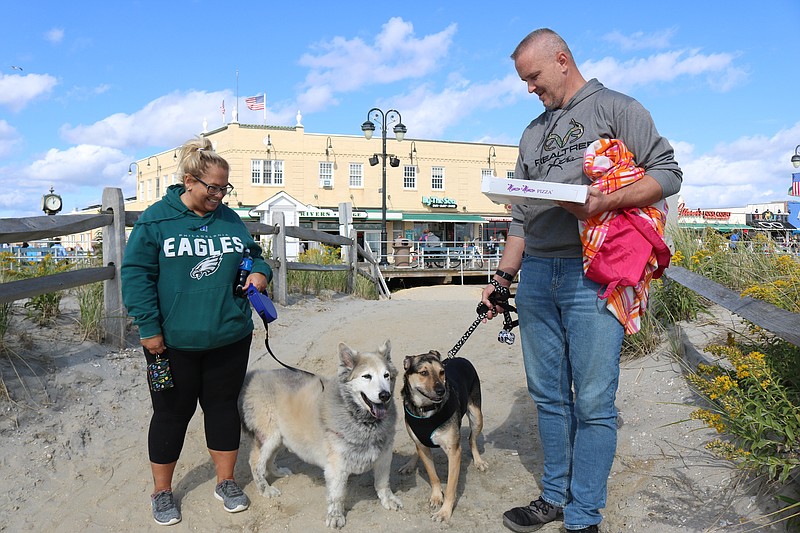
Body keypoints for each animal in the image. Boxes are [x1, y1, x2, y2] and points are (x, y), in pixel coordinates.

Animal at [400, 350, 488, 520]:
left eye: (442, 372)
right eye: (424, 373)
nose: (441, 391)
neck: (426, 409)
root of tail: (459, 357)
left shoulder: (453, 451)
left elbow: (451, 487)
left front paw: (445, 511)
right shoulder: (422, 446)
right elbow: (433, 476)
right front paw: (436, 497)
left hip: (477, 416)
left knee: (472, 439)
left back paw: (479, 461)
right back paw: (409, 464)